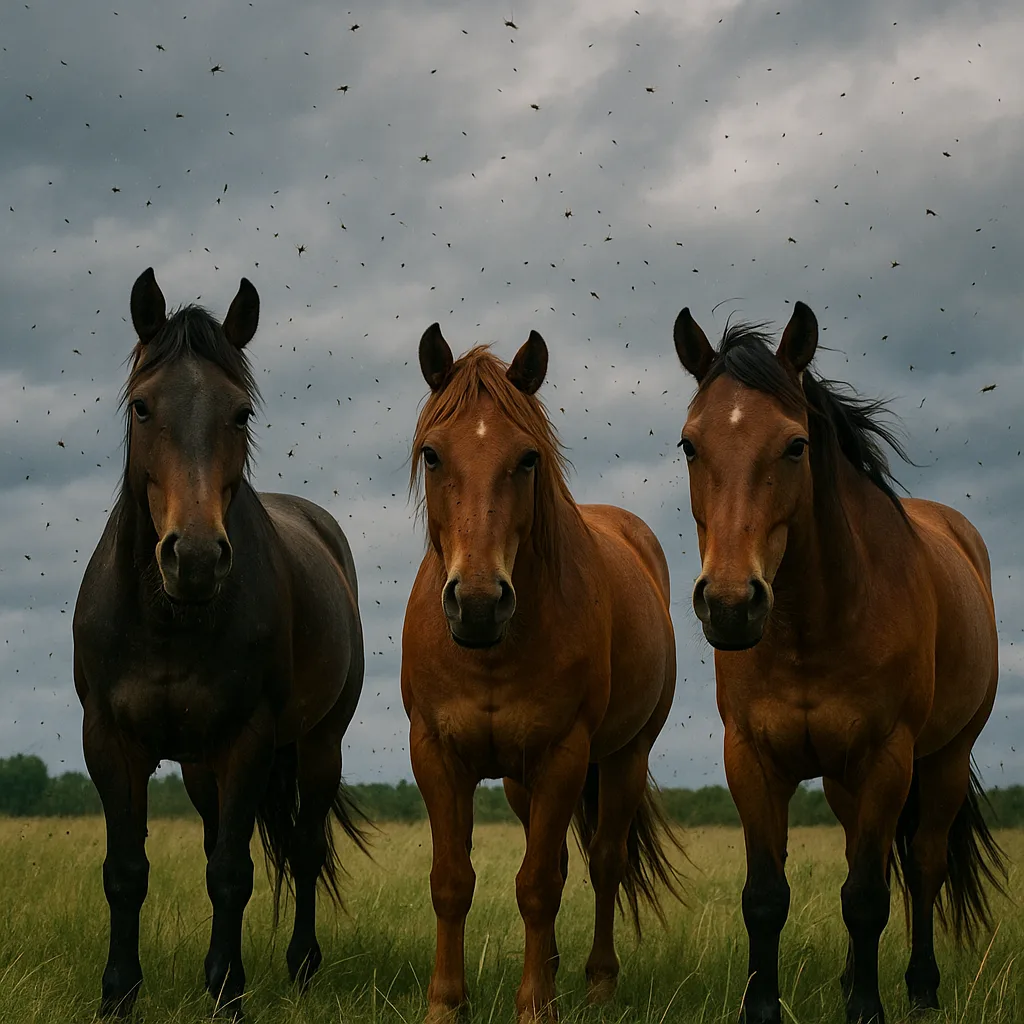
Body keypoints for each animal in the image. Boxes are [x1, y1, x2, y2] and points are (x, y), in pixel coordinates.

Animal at [73, 268, 367, 1018]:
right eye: (142, 407)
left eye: (240, 414)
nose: (198, 558)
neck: (170, 619)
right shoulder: (109, 740)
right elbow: (126, 872)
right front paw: (118, 994)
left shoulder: (249, 740)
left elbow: (233, 872)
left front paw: (228, 994)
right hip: (202, 767)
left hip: (318, 745)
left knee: (304, 849)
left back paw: (300, 966)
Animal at [401, 325, 684, 1023]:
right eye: (432, 455)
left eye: (527, 458)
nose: (477, 603)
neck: (492, 651)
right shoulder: (437, 753)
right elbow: (453, 881)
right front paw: (446, 1003)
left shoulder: (563, 754)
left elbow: (538, 886)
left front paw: (535, 1007)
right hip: (519, 781)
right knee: (550, 853)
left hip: (623, 757)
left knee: (604, 863)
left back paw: (598, 983)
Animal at [671, 301, 1006, 1024]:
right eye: (689, 445)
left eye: (795, 445)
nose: (731, 604)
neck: (812, 627)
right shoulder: (753, 760)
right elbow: (766, 896)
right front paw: (763, 1009)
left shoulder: (887, 758)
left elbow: (869, 897)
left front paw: (869, 1010)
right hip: (843, 780)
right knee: (868, 857)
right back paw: (857, 978)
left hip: (943, 759)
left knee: (922, 866)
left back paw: (920, 988)